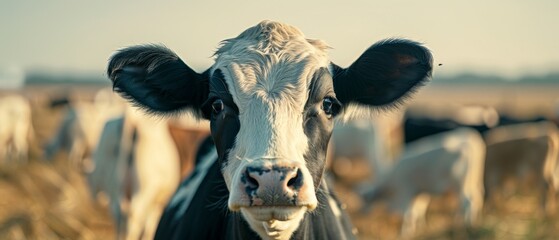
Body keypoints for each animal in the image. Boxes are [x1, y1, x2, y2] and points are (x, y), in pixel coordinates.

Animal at [360, 127, 488, 236]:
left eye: (365, 200)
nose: (362, 212)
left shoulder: (405, 193)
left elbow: (408, 214)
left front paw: (404, 232)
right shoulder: (419, 193)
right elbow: (418, 210)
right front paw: (420, 227)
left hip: (460, 185)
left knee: (467, 202)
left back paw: (464, 225)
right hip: (474, 181)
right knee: (477, 197)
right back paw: (476, 220)